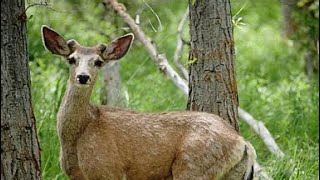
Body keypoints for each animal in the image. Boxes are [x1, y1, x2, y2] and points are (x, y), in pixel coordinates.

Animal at [42, 25, 258, 180]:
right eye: (71, 59)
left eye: (98, 62)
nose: (83, 77)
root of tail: (244, 143)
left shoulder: (108, 170)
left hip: (194, 167)